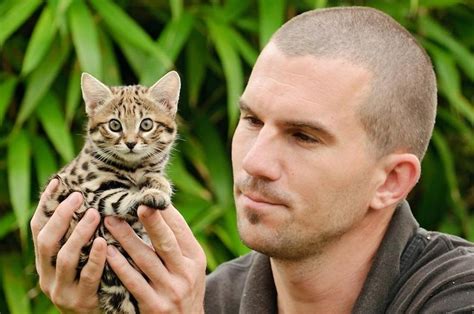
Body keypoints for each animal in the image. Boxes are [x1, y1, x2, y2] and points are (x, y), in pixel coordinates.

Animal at [41, 71, 180, 314]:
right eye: (115, 125)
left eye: (146, 124)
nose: (131, 143)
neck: (134, 168)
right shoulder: (90, 191)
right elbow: (121, 199)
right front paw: (151, 195)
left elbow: (155, 177)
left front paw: (160, 185)